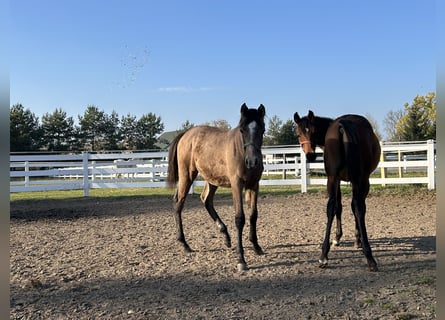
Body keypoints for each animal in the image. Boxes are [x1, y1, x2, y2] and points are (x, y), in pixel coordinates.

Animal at [166, 104, 264, 272]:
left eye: (262, 129)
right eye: (242, 130)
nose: (252, 161)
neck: (241, 151)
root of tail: (186, 134)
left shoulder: (254, 184)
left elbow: (253, 215)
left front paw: (256, 246)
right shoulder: (236, 184)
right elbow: (240, 218)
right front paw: (241, 260)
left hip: (212, 179)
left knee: (206, 200)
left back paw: (225, 235)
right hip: (187, 175)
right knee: (179, 203)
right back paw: (184, 244)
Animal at [294, 110, 380, 270]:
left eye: (312, 131)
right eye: (298, 134)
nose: (310, 155)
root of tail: (342, 125)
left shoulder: (338, 179)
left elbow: (338, 207)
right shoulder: (356, 181)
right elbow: (350, 207)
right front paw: (349, 238)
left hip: (335, 179)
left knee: (332, 206)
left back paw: (324, 256)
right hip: (359, 179)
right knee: (357, 207)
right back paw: (368, 255)